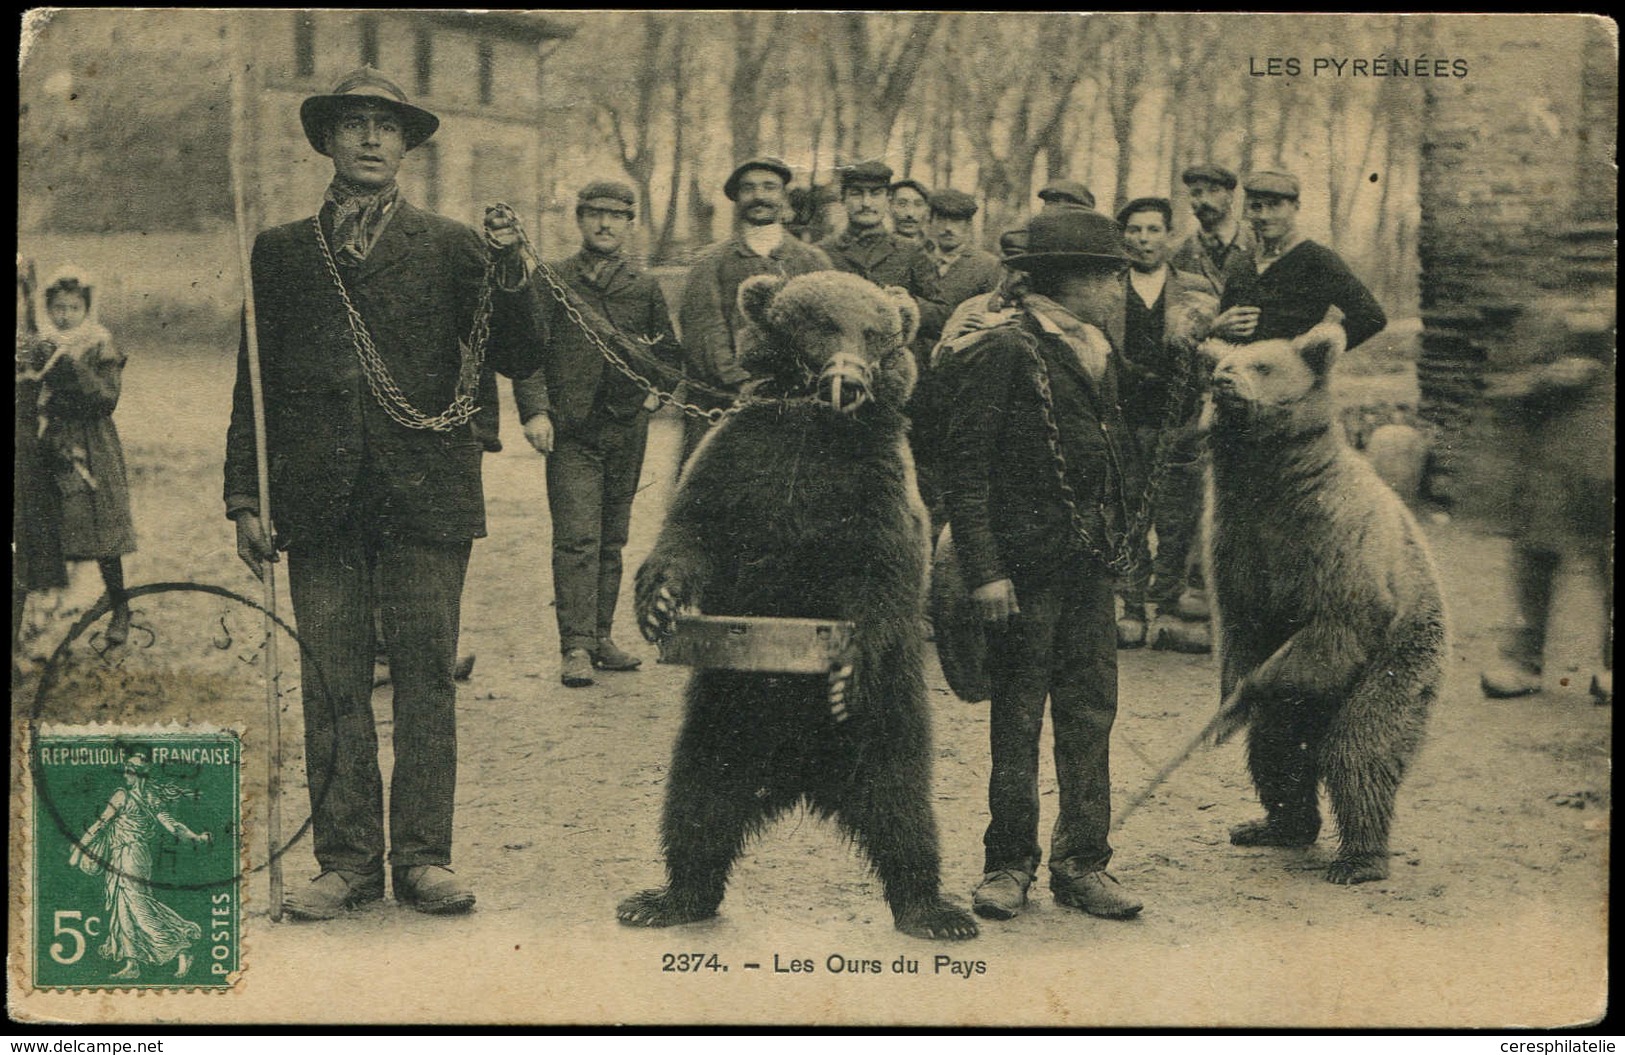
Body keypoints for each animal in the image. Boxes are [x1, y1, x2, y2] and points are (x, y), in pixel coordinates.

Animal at [617, 269, 975, 936]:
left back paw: (935, 910)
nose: (850, 380)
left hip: (886, 721)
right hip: (719, 720)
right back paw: (665, 899)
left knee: (905, 810)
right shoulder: (743, 453)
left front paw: (845, 666)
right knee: (695, 803)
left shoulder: (874, 482)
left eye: (876, 333)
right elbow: (691, 526)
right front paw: (659, 605)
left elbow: (885, 567)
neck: (817, 428)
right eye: (822, 323)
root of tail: (800, 779)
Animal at [1209, 325, 1449, 884]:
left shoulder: (1333, 536)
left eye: (1262, 365)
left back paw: (1358, 860)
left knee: (1359, 750)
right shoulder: (1238, 536)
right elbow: (1242, 622)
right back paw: (1271, 826)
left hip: (1401, 662)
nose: (1223, 379)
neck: (1271, 478)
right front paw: (1230, 696)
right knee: (1275, 752)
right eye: (1225, 362)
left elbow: (1344, 617)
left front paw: (1248, 691)